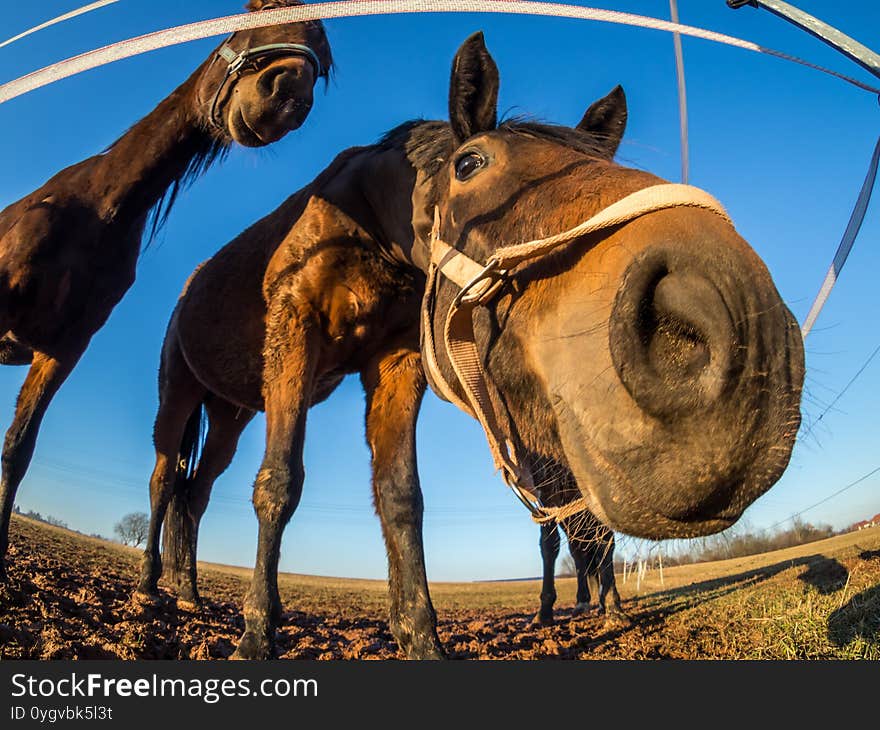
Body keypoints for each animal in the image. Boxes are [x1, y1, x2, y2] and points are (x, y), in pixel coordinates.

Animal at [0, 1, 334, 580]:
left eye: (324, 60)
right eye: (262, 12)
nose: (287, 95)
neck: (101, 208)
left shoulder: (63, 348)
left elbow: (19, 450)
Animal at [134, 29, 800, 660]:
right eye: (470, 164)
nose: (741, 324)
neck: (368, 221)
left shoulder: (398, 364)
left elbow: (401, 499)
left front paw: (420, 637)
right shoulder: (296, 335)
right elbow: (278, 483)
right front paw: (255, 635)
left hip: (231, 414)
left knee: (195, 495)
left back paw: (189, 591)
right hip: (180, 396)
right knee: (166, 482)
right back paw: (151, 589)